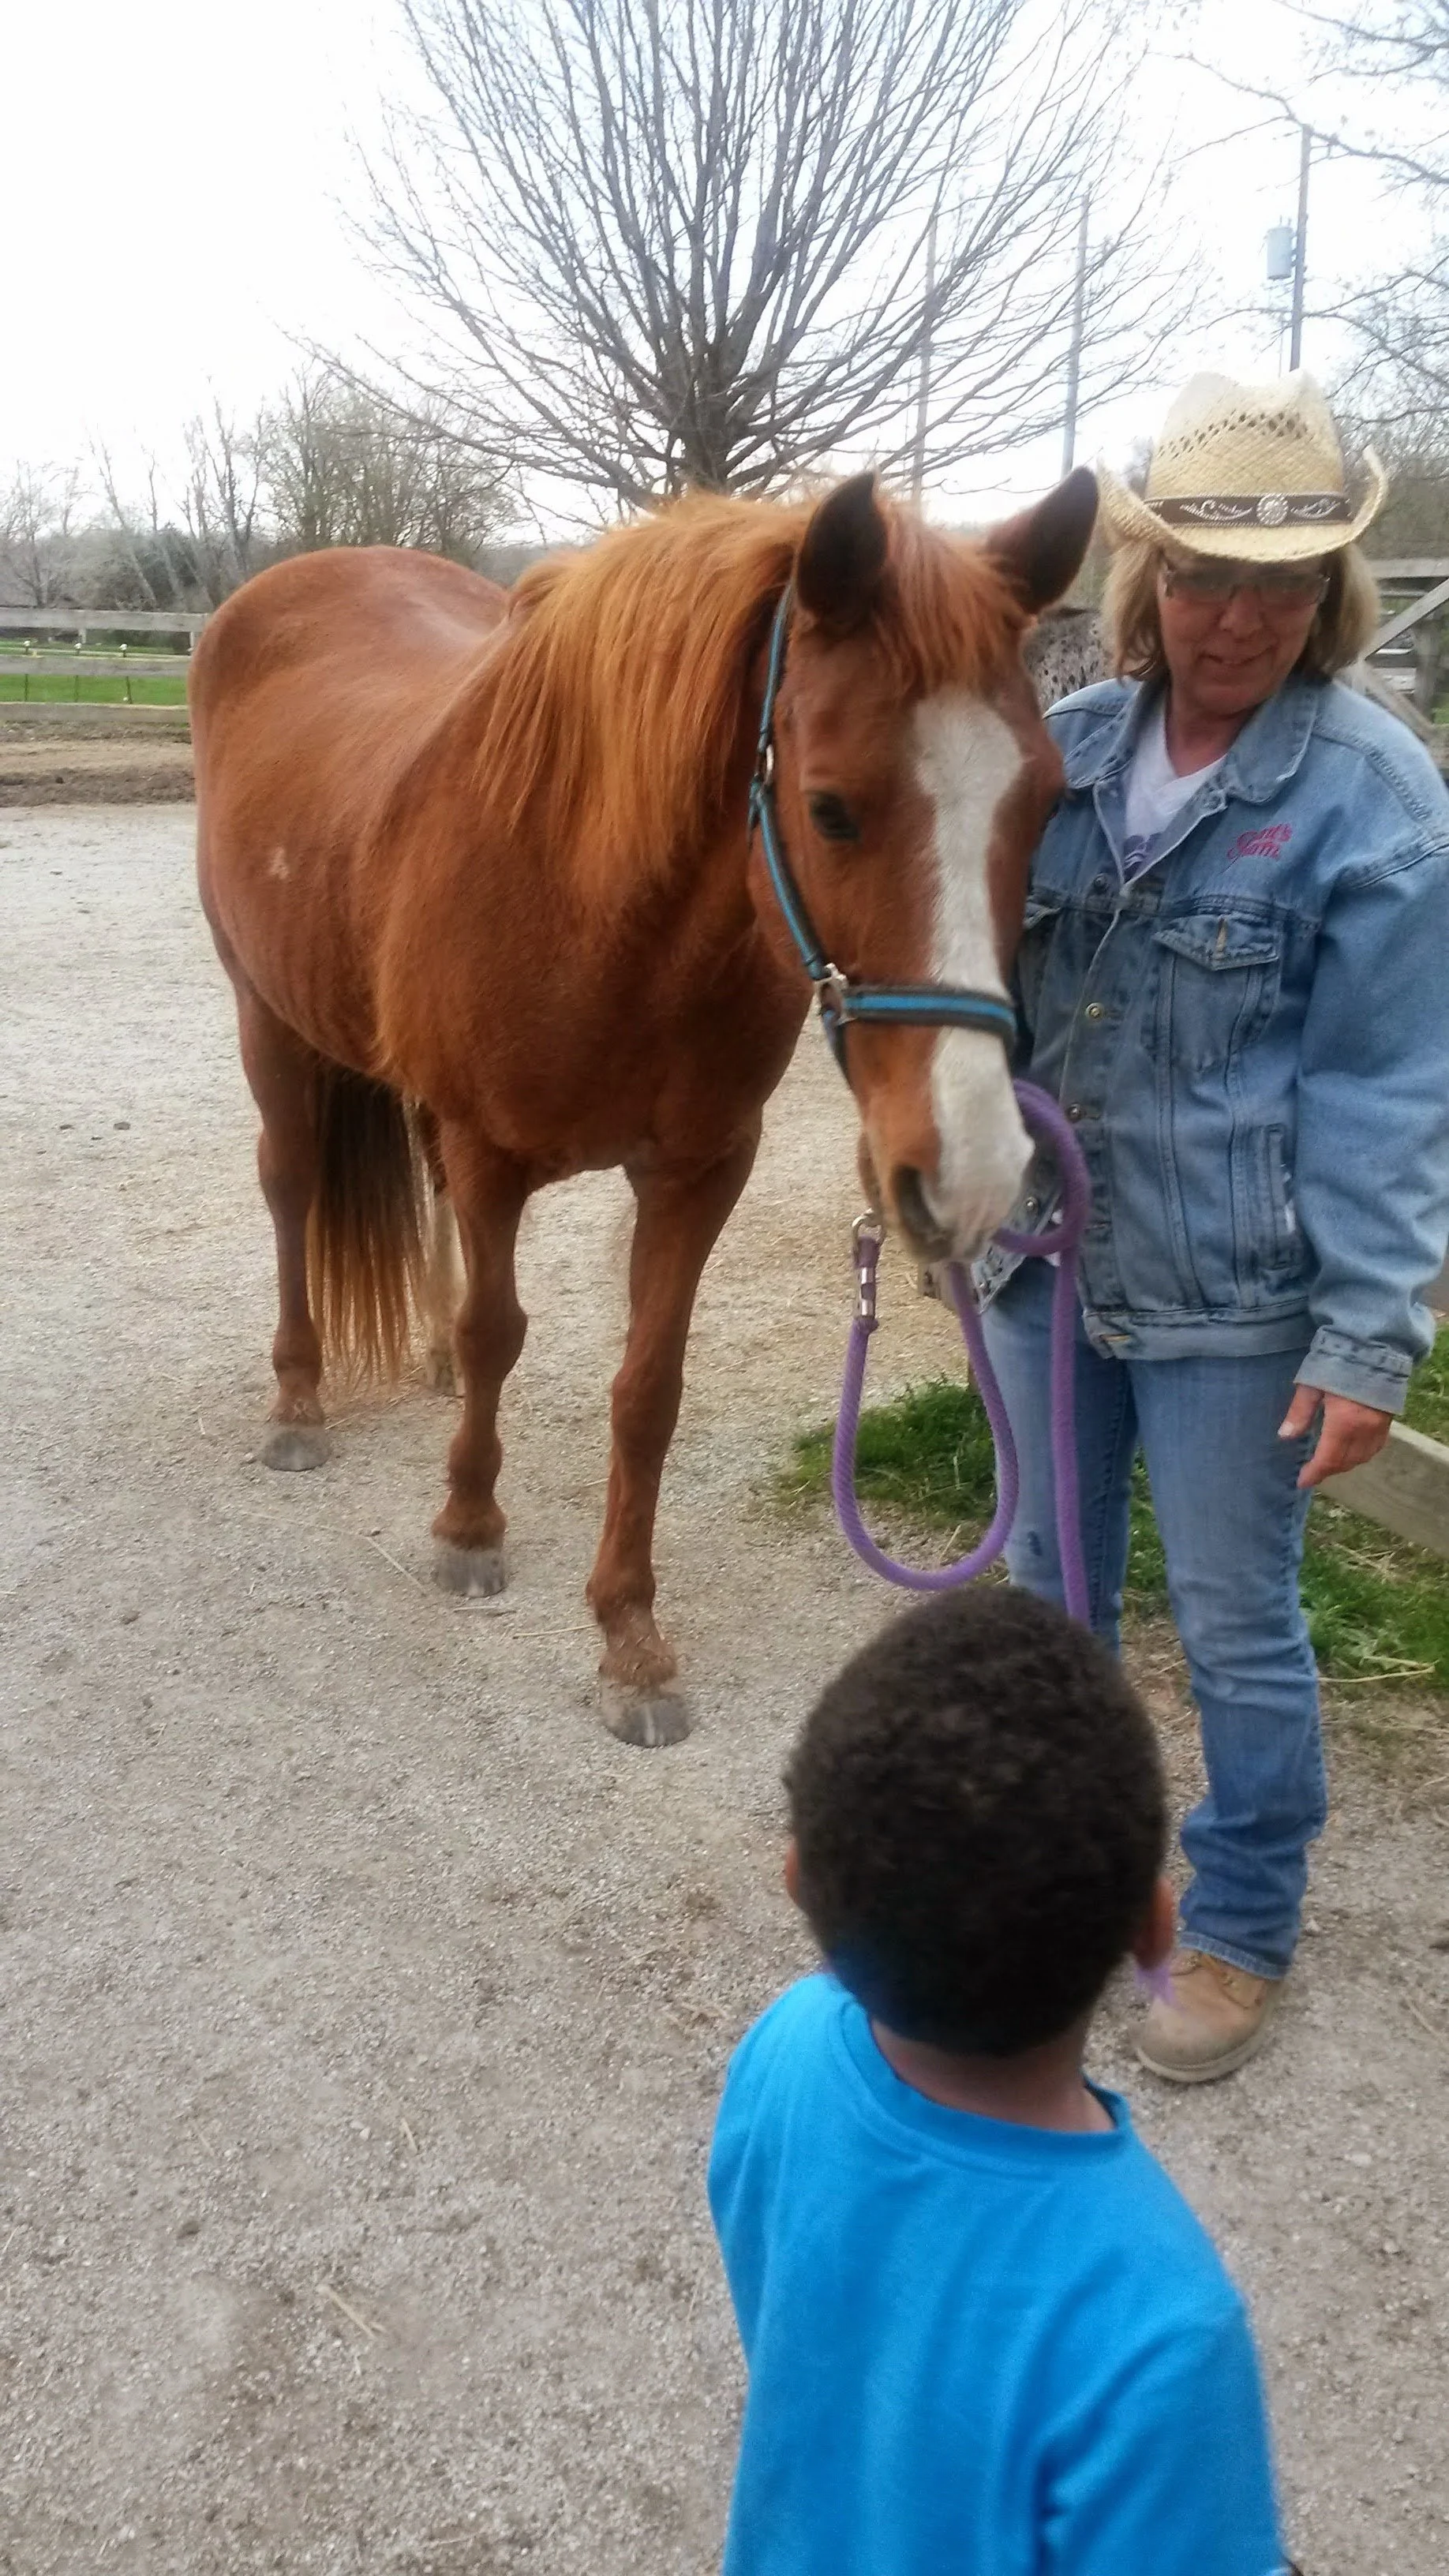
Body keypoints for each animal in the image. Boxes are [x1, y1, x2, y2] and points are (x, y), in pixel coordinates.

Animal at [191, 467, 1097, 1744]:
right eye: (830, 808)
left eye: (1048, 800)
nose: (971, 1175)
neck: (597, 907)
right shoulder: (491, 1152)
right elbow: (501, 1332)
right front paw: (470, 1526)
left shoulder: (699, 1169)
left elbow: (647, 1393)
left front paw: (629, 1635)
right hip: (267, 1017)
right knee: (291, 1189)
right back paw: (300, 1402)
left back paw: (420, 1358)